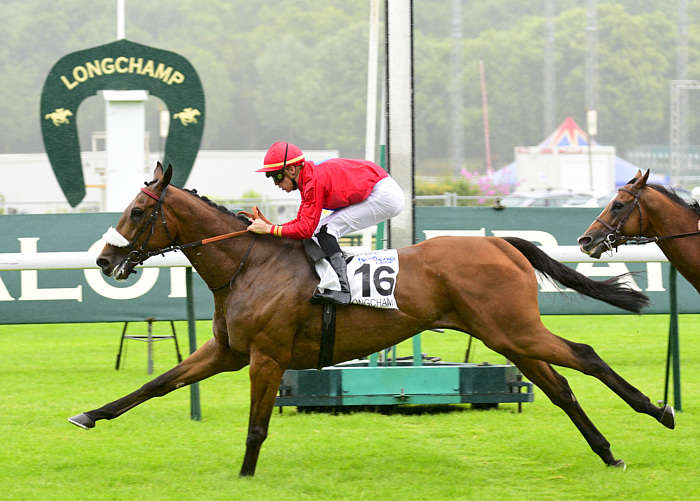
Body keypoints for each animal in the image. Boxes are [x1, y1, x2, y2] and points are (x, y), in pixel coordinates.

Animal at [68, 162, 675, 476]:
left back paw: (659, 411)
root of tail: (501, 243)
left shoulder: (265, 357)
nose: (102, 260)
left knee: (585, 357)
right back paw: (608, 452)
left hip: (515, 329)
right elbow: (155, 384)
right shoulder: (227, 351)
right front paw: (89, 415)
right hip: (507, 336)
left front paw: (244, 476)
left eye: (138, 212)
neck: (249, 262)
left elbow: (257, 425)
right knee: (561, 387)